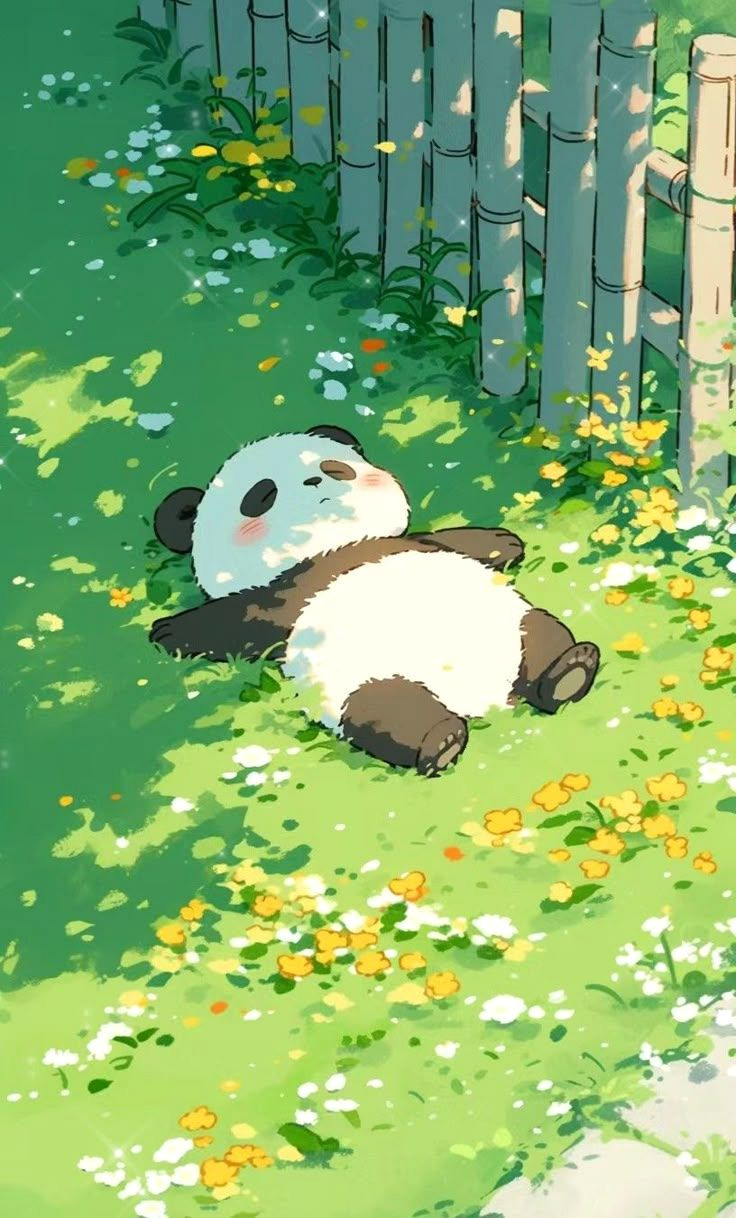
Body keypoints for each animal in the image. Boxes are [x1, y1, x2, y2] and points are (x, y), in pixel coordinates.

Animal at [150, 424, 600, 776]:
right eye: (263, 495)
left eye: (333, 468)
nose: (316, 484)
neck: (336, 545)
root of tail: (483, 697)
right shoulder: (288, 593)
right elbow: (240, 618)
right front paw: (169, 631)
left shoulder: (405, 542)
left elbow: (453, 541)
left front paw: (504, 540)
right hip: (361, 681)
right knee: (388, 710)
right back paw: (442, 740)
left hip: (507, 625)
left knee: (540, 634)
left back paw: (569, 669)